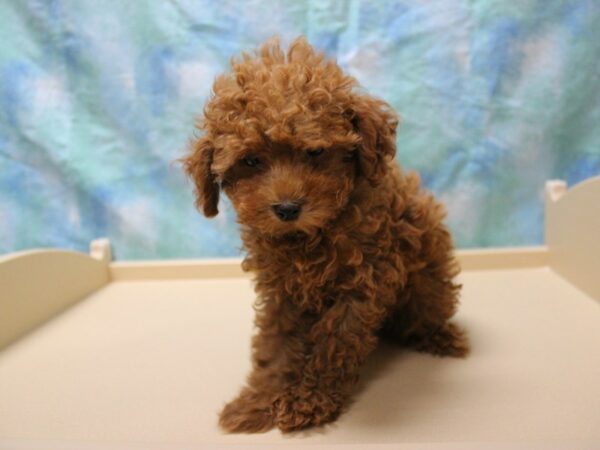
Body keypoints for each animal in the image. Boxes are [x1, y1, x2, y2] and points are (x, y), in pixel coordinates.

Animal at [183, 37, 468, 432]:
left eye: (315, 151)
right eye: (251, 161)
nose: (287, 208)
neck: (311, 235)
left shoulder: (363, 282)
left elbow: (336, 342)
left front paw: (308, 401)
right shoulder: (281, 288)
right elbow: (276, 341)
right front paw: (259, 399)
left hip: (428, 278)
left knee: (427, 311)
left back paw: (439, 336)